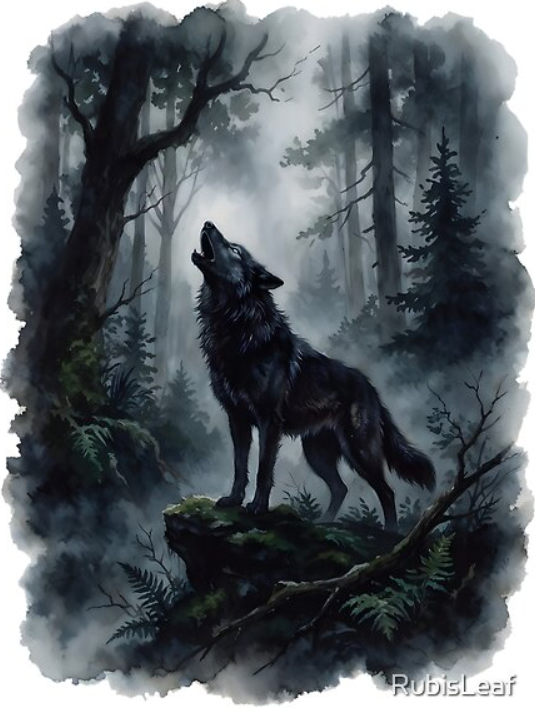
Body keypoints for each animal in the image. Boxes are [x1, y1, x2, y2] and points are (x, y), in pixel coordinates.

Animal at [192, 221, 435, 528]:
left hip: (358, 451)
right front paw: (234, 500)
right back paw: (324, 523)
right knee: (341, 488)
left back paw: (391, 534)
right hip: (316, 454)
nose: (207, 223)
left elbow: (262, 471)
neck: (236, 327)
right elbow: (239, 466)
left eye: (234, 250)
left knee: (387, 492)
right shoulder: (237, 419)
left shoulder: (268, 422)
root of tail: (371, 388)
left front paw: (257, 507)